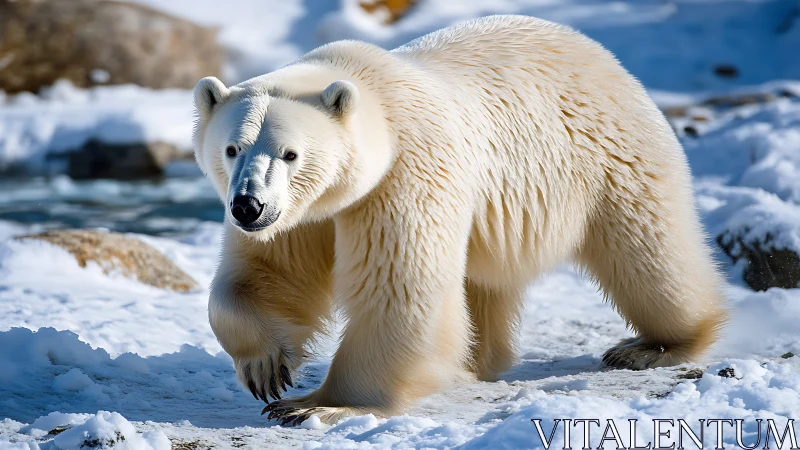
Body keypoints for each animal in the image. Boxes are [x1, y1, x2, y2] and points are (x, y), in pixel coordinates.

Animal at [192, 15, 727, 425]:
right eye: (232, 148)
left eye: (290, 153)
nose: (248, 206)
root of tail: (606, 58)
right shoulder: (308, 212)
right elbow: (270, 271)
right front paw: (266, 368)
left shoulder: (404, 174)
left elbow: (399, 286)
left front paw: (321, 406)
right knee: (484, 280)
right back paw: (471, 363)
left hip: (609, 158)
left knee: (648, 250)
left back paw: (652, 346)